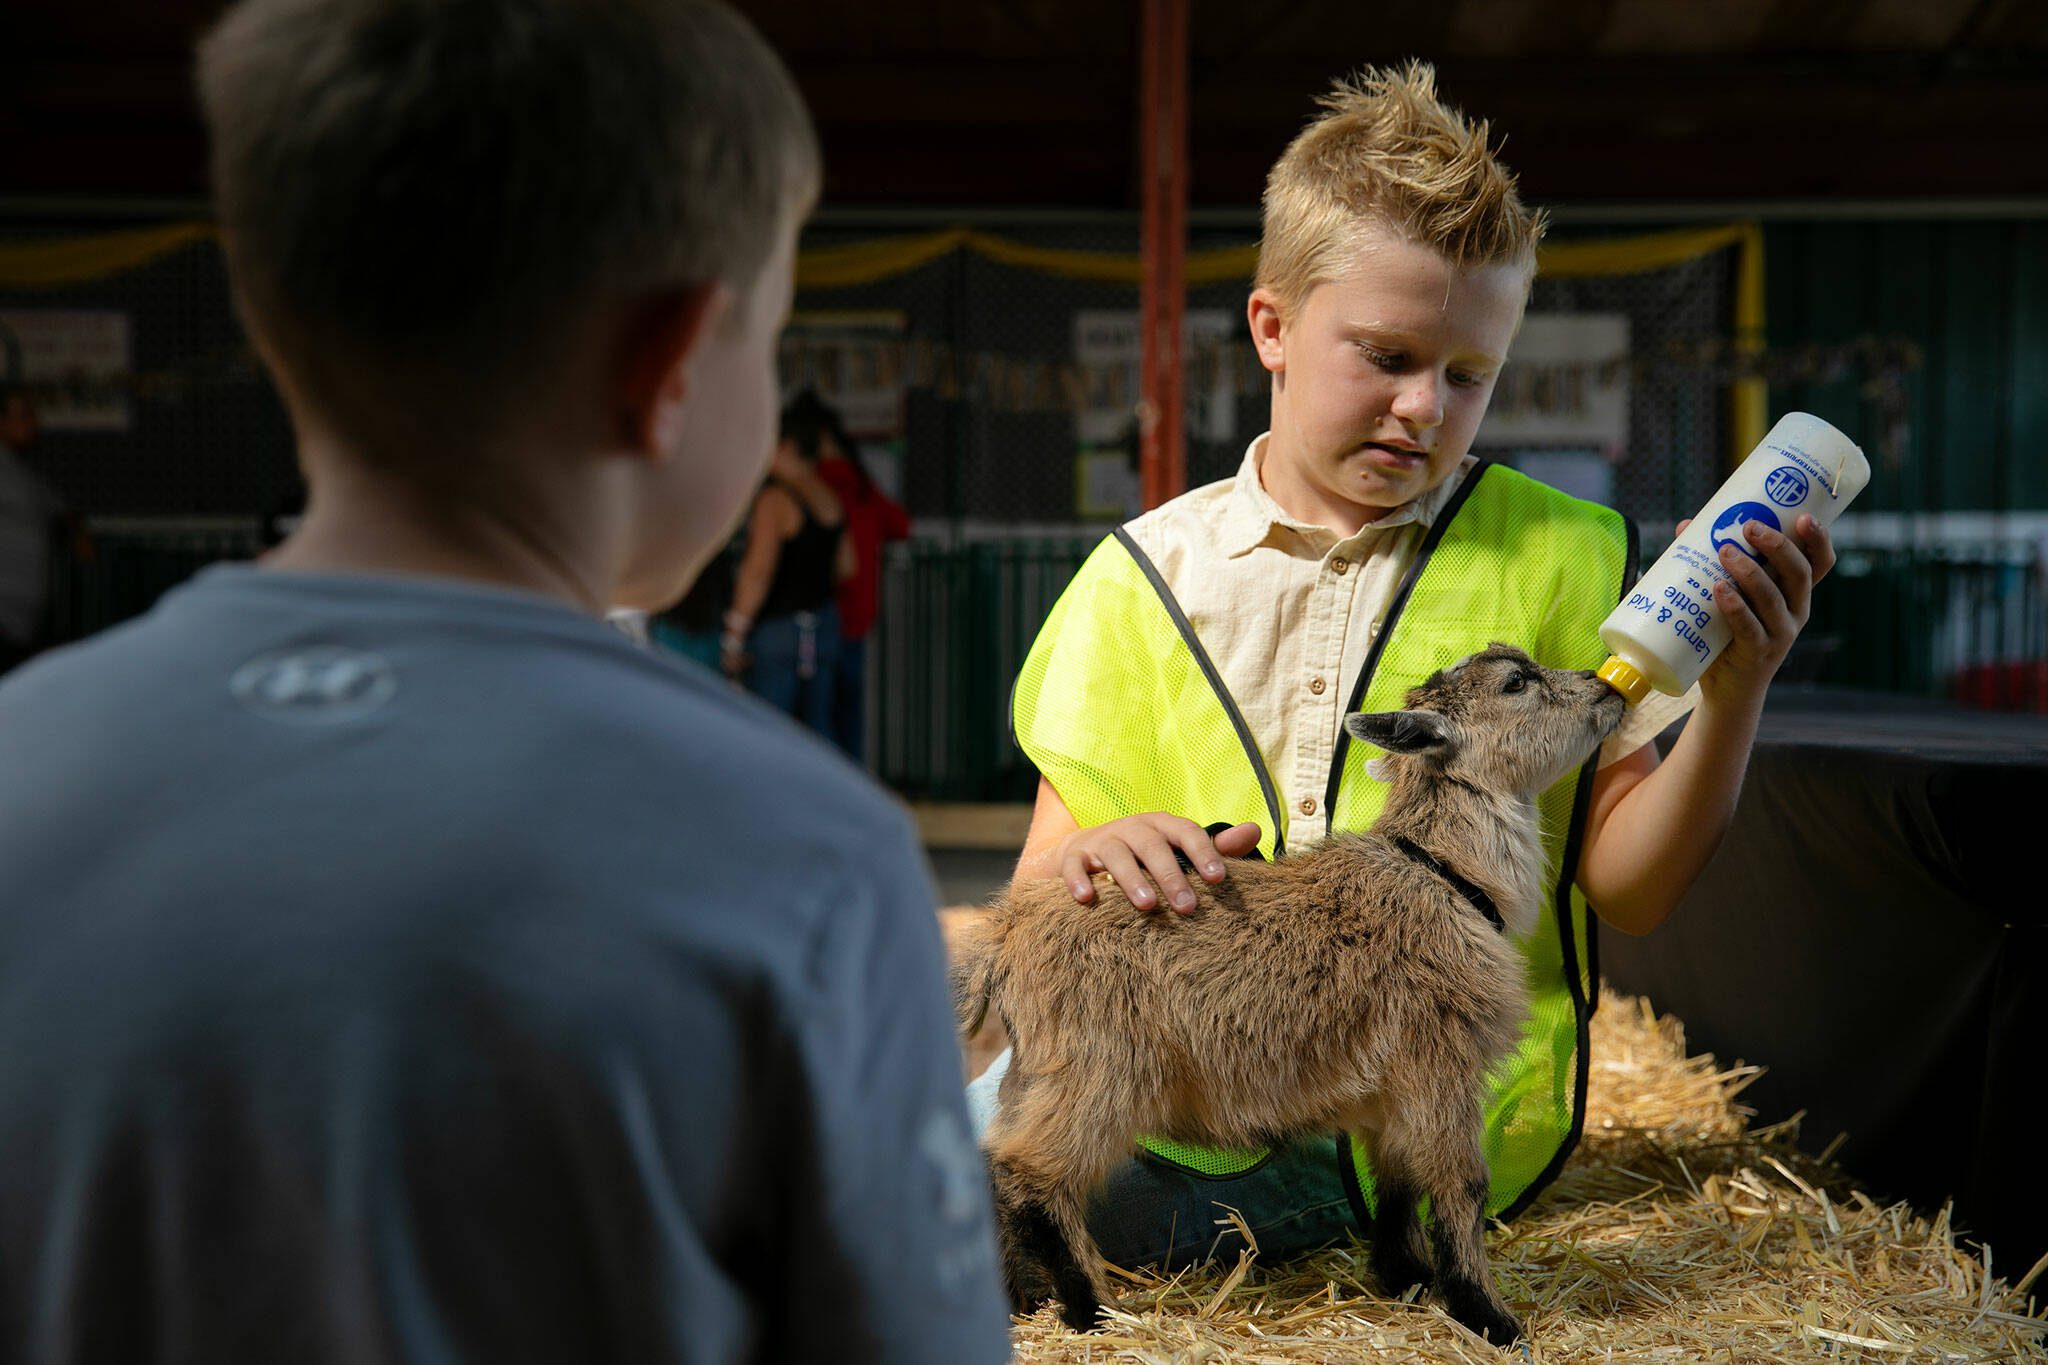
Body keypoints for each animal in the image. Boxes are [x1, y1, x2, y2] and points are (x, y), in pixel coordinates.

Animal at [950, 642, 1622, 1342]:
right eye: (1516, 682)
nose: (1607, 687)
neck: (1446, 874)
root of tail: (1006, 932)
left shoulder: (1391, 1092)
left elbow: (1397, 1181)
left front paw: (1406, 1279)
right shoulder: (1438, 1059)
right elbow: (1459, 1183)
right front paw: (1487, 1316)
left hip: (1040, 1068)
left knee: (994, 1159)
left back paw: (1018, 1299)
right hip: (1098, 1068)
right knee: (1032, 1175)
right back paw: (1091, 1308)